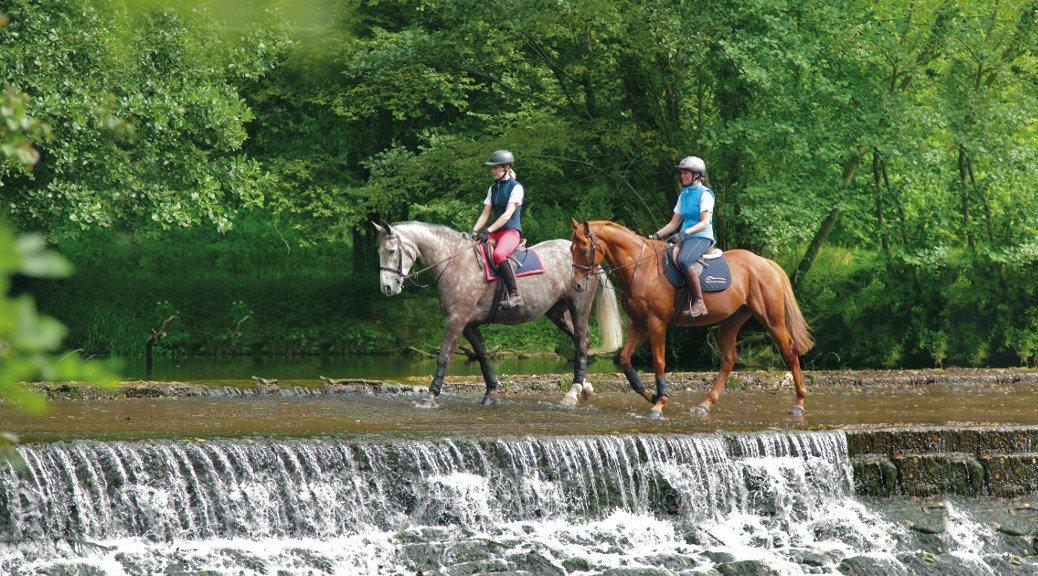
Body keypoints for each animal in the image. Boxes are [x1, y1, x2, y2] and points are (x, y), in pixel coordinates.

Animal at [375, 221, 624, 408]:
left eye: (391, 251)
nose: (386, 288)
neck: (455, 261)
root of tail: (591, 260)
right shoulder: (469, 324)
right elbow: (483, 356)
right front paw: (490, 393)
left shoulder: (456, 320)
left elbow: (444, 355)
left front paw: (431, 395)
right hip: (558, 313)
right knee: (582, 342)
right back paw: (584, 386)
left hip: (579, 306)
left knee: (581, 341)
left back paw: (572, 393)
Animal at [569, 219, 814, 419]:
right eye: (571, 250)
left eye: (583, 249)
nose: (577, 286)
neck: (640, 267)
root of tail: (765, 262)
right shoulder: (639, 324)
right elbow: (625, 359)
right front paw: (651, 395)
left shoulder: (656, 323)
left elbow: (658, 362)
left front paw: (660, 403)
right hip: (730, 321)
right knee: (728, 359)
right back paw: (705, 403)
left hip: (772, 320)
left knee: (790, 352)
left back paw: (799, 402)